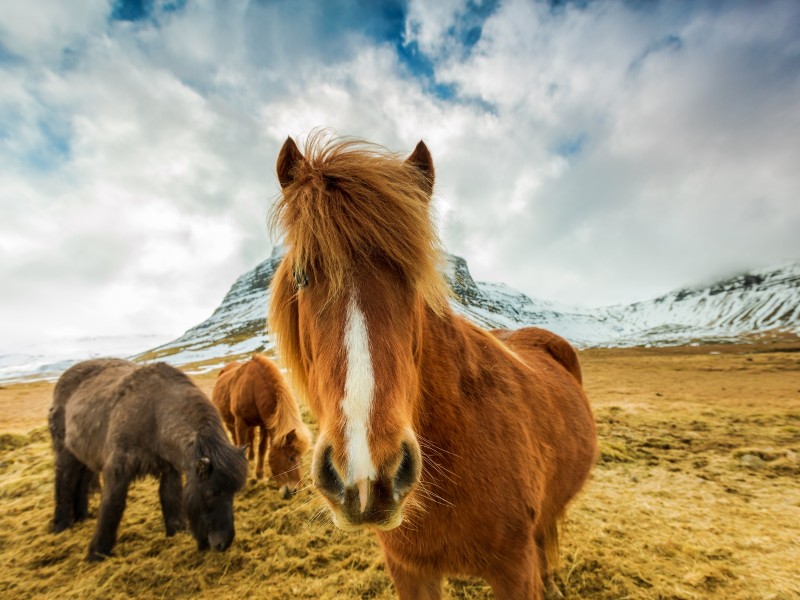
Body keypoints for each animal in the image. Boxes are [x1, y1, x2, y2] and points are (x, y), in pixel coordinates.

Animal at [49, 358, 248, 561]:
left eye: (233, 492)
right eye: (210, 493)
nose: (223, 544)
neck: (154, 413)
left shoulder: (170, 469)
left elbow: (171, 498)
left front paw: (175, 533)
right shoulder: (117, 469)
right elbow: (112, 506)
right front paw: (97, 553)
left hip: (83, 458)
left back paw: (82, 516)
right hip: (66, 454)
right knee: (64, 482)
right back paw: (61, 525)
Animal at [211, 354, 311, 499]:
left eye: (301, 459)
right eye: (290, 457)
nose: (293, 491)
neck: (253, 388)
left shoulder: (264, 424)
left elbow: (262, 448)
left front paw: (260, 476)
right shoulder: (240, 421)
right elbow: (242, 445)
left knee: (251, 439)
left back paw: (251, 459)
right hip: (230, 423)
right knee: (236, 439)